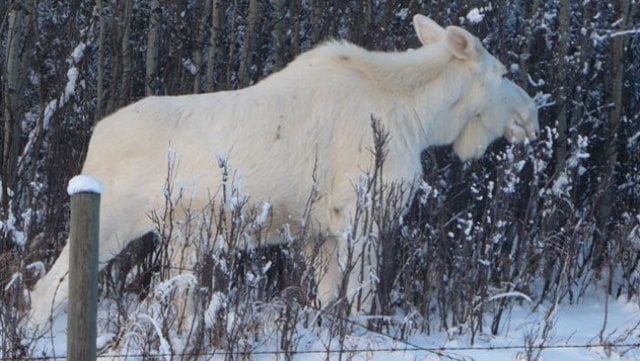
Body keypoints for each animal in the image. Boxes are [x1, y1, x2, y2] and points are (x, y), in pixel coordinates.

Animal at [30, 14, 540, 326]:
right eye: (500, 73)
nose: (531, 114)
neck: (422, 119)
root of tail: (93, 140)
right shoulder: (361, 213)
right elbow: (359, 301)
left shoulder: (322, 232)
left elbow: (325, 300)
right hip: (112, 221)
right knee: (45, 292)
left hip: (179, 238)